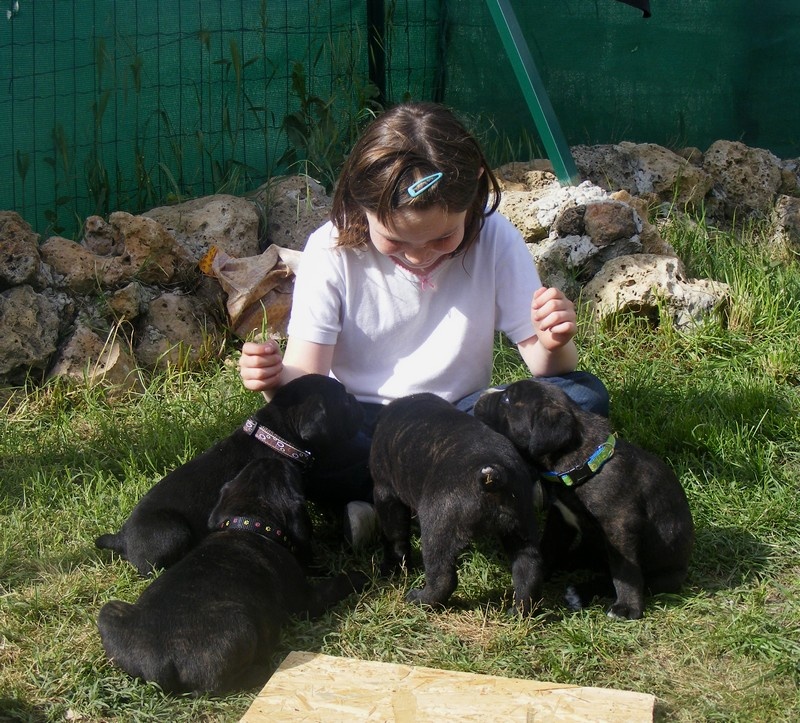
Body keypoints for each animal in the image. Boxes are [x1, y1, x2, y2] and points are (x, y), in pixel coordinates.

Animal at [96, 456, 366, 700]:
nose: (274, 455)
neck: (249, 521)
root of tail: (160, 664)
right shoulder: (307, 599)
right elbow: (337, 584)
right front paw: (362, 575)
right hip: (241, 626)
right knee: (215, 686)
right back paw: (261, 671)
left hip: (109, 612)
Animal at [368, 394, 544, 612]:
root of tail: (493, 474)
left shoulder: (385, 494)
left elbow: (395, 537)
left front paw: (391, 567)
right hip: (522, 528)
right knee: (528, 571)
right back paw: (519, 611)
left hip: (436, 530)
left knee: (443, 577)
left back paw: (420, 600)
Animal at [476, 378, 692, 624]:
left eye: (506, 399)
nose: (482, 394)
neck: (581, 463)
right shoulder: (560, 519)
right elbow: (549, 546)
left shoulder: (619, 528)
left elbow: (624, 571)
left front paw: (627, 607)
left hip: (666, 574)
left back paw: (582, 592)